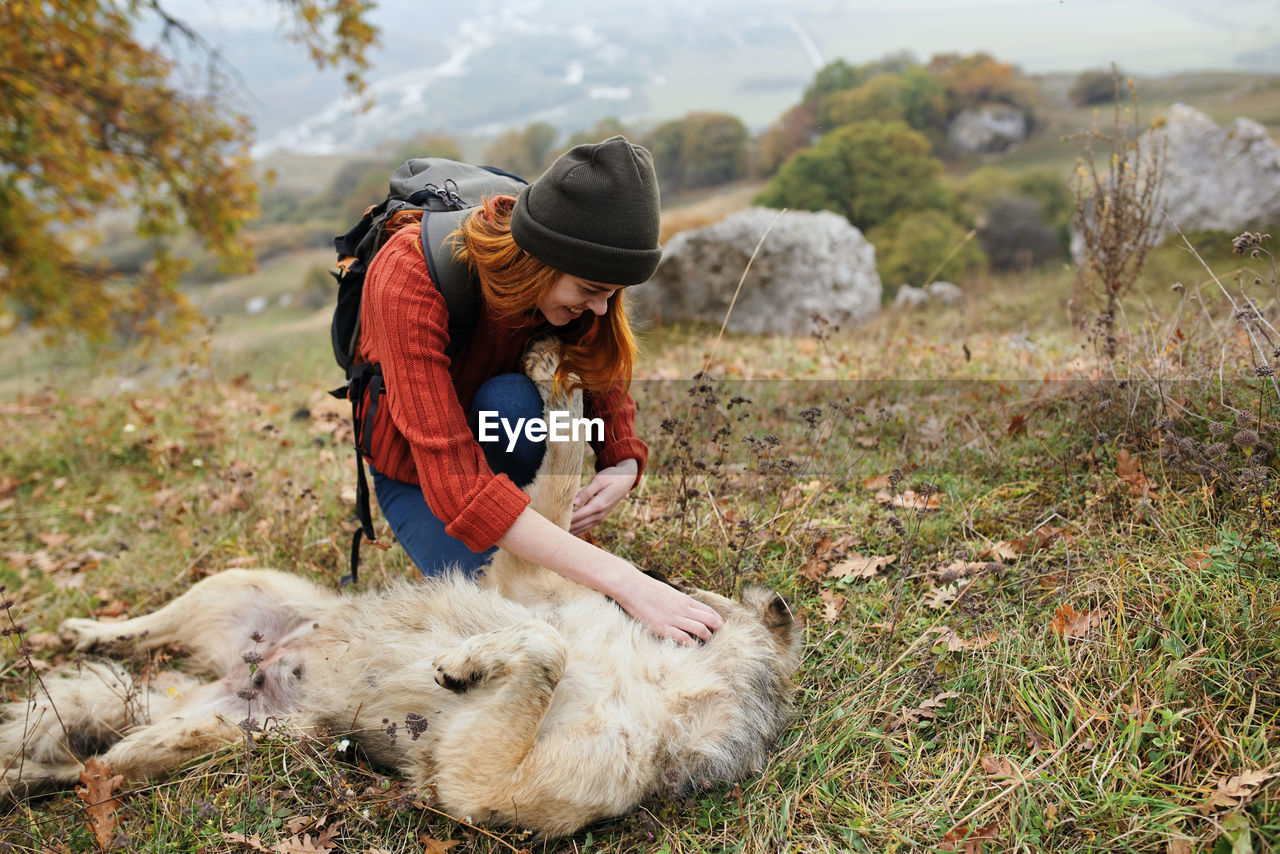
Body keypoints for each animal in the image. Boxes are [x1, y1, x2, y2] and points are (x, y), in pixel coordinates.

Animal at [0, 340, 798, 834]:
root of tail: (246, 671)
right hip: (232, 584)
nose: (657, 581)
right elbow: (563, 478)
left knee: (91, 765)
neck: (672, 672)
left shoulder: (482, 786)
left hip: (213, 739)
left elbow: (546, 651)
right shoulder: (530, 574)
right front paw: (557, 369)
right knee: (136, 639)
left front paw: (466, 664)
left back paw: (27, 774)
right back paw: (86, 633)